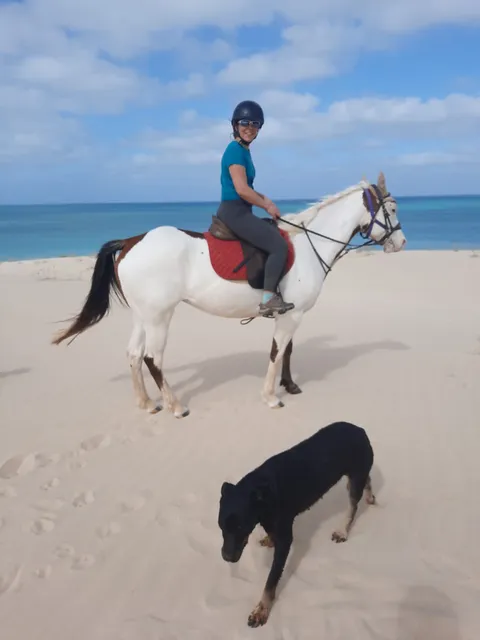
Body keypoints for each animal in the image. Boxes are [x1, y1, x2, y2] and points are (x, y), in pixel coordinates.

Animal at [52, 172, 406, 417]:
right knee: (153, 358)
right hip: (159, 317)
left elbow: (288, 351)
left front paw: (289, 385)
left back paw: (146, 402)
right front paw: (271, 396)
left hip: (143, 315)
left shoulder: (292, 314)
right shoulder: (291, 315)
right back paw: (175, 405)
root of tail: (130, 241)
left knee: (134, 354)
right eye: (391, 208)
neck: (310, 245)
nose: (401, 243)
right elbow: (277, 352)